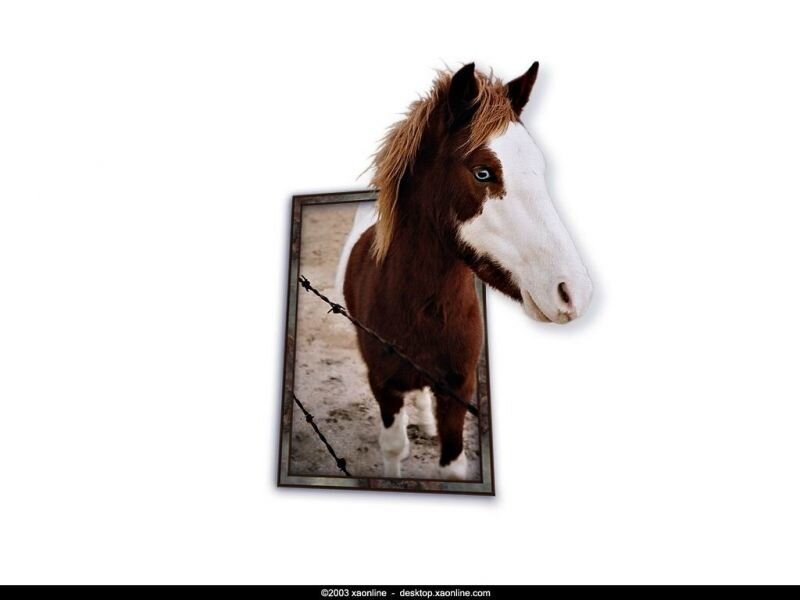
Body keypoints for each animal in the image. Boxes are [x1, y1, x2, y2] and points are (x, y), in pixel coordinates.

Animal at [337, 61, 593, 480]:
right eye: (483, 173)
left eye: (539, 168)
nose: (574, 292)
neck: (424, 310)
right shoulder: (383, 384)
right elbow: (393, 448)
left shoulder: (459, 387)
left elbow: (453, 465)